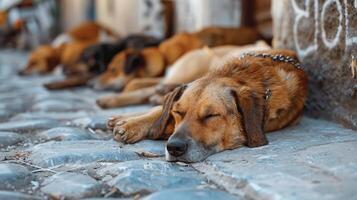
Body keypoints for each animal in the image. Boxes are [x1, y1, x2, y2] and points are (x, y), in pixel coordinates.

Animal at [105, 48, 306, 162]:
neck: (241, 77)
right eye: (178, 112)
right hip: (191, 70)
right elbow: (161, 112)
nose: (174, 148)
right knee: (153, 89)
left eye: (211, 115)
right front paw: (131, 124)